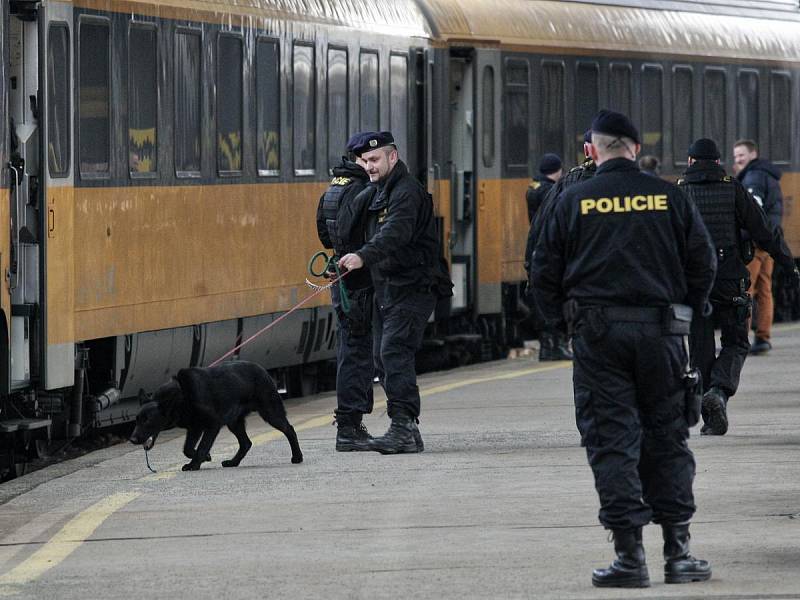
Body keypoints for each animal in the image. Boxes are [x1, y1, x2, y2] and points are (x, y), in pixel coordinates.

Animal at [128, 358, 304, 472]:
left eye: (147, 421)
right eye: (137, 420)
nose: (132, 439)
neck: (182, 395)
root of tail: (262, 369)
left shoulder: (212, 425)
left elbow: (202, 446)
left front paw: (194, 464)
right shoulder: (194, 427)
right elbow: (187, 448)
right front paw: (205, 458)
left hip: (270, 413)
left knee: (289, 429)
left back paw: (297, 457)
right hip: (234, 422)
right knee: (246, 443)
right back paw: (233, 462)